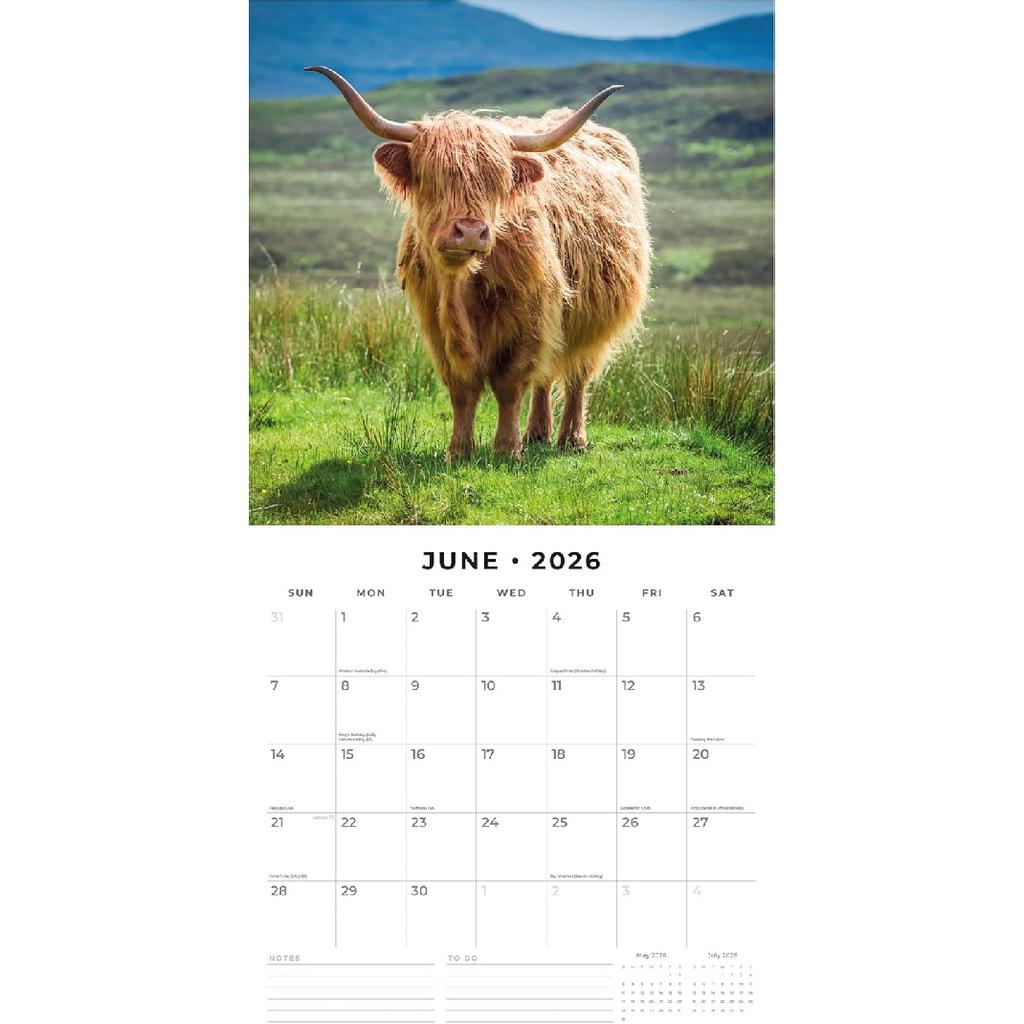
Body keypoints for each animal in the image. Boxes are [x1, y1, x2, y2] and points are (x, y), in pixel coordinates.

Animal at [306, 66, 650, 459]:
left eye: (497, 181)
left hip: (593, 316)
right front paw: (460, 449)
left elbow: (510, 384)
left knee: (577, 373)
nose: (470, 232)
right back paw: (537, 433)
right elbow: (462, 388)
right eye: (433, 176)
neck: (460, 287)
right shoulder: (436, 324)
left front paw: (506, 449)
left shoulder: (529, 317)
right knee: (547, 376)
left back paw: (571, 439)